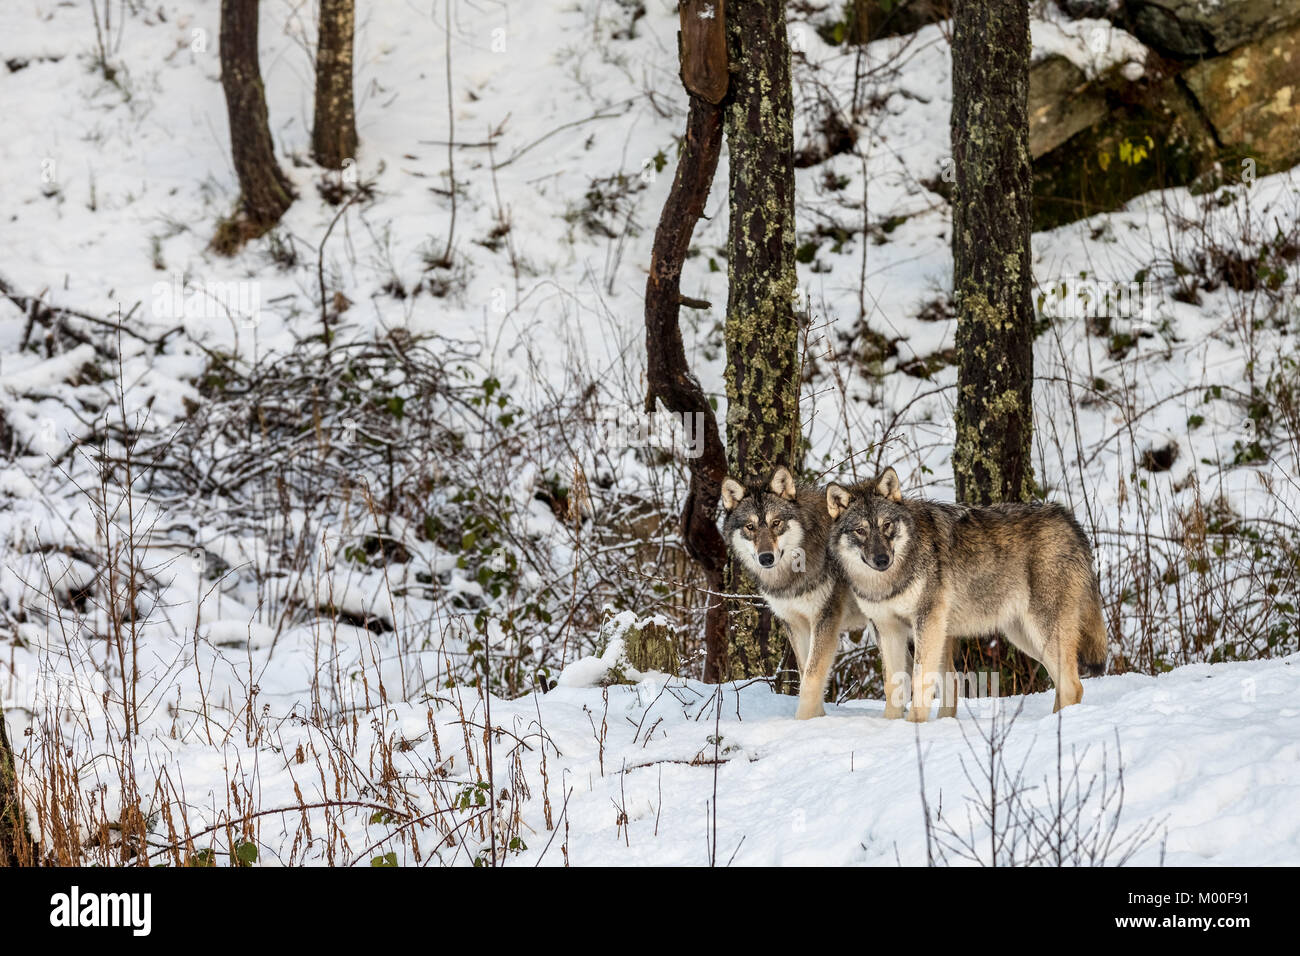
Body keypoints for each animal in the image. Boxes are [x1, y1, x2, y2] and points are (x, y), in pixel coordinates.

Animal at [721, 467, 867, 719]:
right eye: (750, 527)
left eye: (776, 522)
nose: (766, 558)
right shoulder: (796, 624)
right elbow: (804, 671)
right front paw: (817, 718)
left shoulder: (825, 620)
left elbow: (812, 676)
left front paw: (803, 721)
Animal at [826, 467, 1107, 722]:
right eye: (860, 530)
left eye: (886, 525)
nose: (882, 559)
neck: (886, 583)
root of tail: (1067, 518)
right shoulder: (887, 629)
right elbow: (893, 687)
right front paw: (891, 726)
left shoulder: (928, 622)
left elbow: (920, 681)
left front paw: (914, 726)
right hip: (1024, 637)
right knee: (1063, 683)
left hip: (1043, 632)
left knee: (1073, 686)